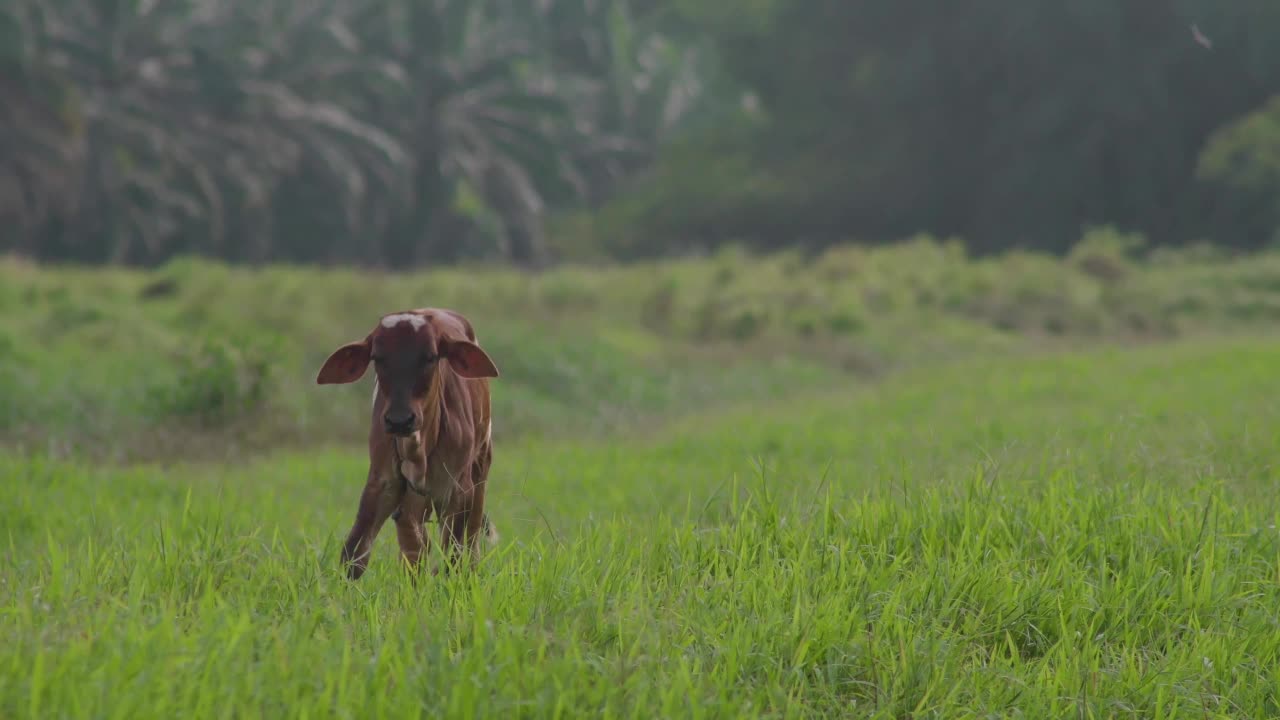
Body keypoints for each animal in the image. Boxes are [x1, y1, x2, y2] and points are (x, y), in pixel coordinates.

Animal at [314, 308, 499, 576]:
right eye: (377, 357)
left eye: (430, 357)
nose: (399, 420)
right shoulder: (383, 482)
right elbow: (356, 552)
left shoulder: (458, 489)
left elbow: (455, 556)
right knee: (417, 544)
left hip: (480, 467)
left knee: (468, 542)